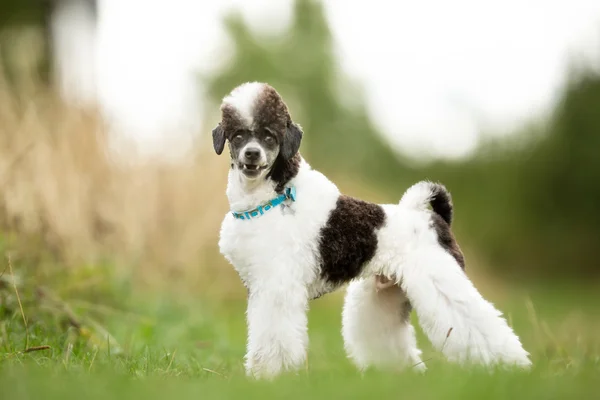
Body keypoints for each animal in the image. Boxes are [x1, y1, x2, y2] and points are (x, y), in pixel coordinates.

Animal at [212, 80, 528, 378]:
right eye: (238, 135)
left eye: (269, 135)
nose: (252, 154)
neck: (273, 196)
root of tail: (437, 219)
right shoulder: (263, 286)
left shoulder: (277, 286)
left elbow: (272, 337)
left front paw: (269, 376)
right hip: (384, 293)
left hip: (442, 283)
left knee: (480, 324)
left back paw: (512, 368)